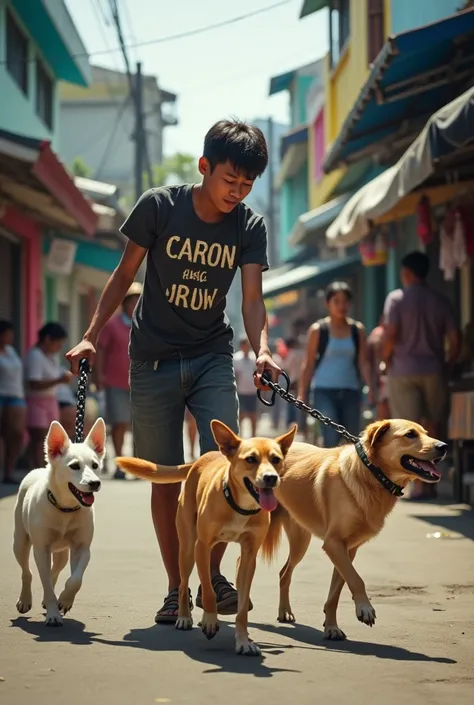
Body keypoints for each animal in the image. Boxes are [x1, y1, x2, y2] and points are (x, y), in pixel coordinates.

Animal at [13, 416, 106, 624]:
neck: (65, 509)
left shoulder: (82, 548)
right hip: (20, 543)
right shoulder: (41, 549)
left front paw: (64, 600)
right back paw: (25, 600)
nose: (95, 483)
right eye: (74, 466)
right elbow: (44, 581)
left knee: (54, 572)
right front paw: (53, 614)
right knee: (27, 572)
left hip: (62, 553)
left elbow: (75, 580)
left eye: (95, 465)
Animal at [116, 418, 296, 656]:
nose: (271, 478)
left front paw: (243, 640)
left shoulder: (249, 557)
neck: (239, 505)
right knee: (183, 585)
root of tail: (200, 460)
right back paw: (183, 617)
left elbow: (242, 609)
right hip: (187, 550)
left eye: (276, 459)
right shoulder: (202, 546)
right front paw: (210, 620)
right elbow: (209, 593)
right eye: (251, 459)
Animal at [262, 416, 446, 640]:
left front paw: (331, 627)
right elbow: (357, 580)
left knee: (284, 573)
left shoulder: (348, 549)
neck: (372, 474)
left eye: (426, 433)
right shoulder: (333, 544)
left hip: (300, 540)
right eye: (410, 434)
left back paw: (285, 611)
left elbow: (336, 591)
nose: (444, 446)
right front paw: (365, 609)